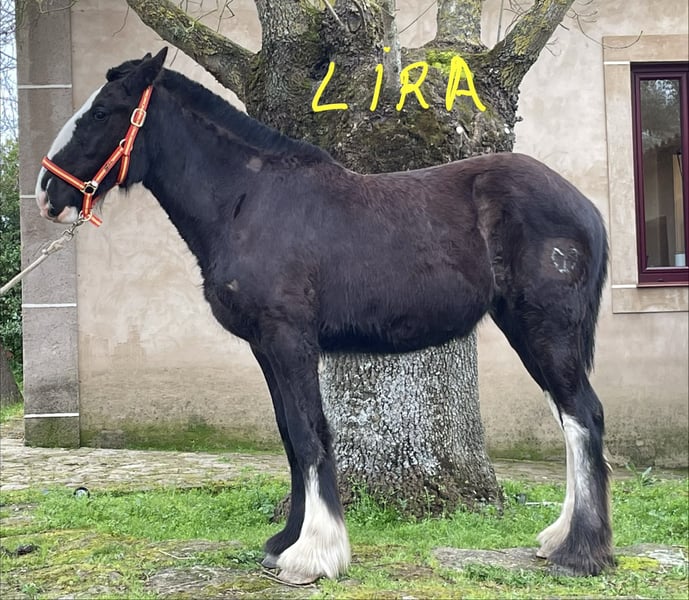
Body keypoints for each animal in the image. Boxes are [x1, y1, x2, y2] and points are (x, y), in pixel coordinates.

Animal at [35, 48, 613, 582]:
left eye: (102, 111)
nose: (47, 194)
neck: (248, 200)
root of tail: (584, 207)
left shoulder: (291, 339)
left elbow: (310, 432)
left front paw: (314, 555)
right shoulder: (265, 346)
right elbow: (290, 438)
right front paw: (284, 543)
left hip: (546, 330)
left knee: (582, 416)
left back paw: (579, 551)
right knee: (570, 417)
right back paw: (561, 539)